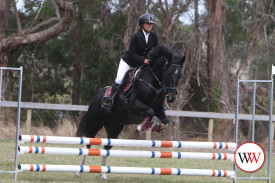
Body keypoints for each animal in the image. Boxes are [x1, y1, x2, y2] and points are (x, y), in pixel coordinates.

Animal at [75, 44, 185, 179]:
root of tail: (98, 94)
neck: (152, 83)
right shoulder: (134, 106)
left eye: (180, 75)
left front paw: (156, 126)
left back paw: (103, 173)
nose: (171, 98)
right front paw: (141, 127)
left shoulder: (159, 108)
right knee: (87, 144)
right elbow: (150, 112)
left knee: (106, 147)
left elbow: (164, 119)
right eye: (168, 73)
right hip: (94, 124)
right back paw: (80, 171)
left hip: (114, 127)